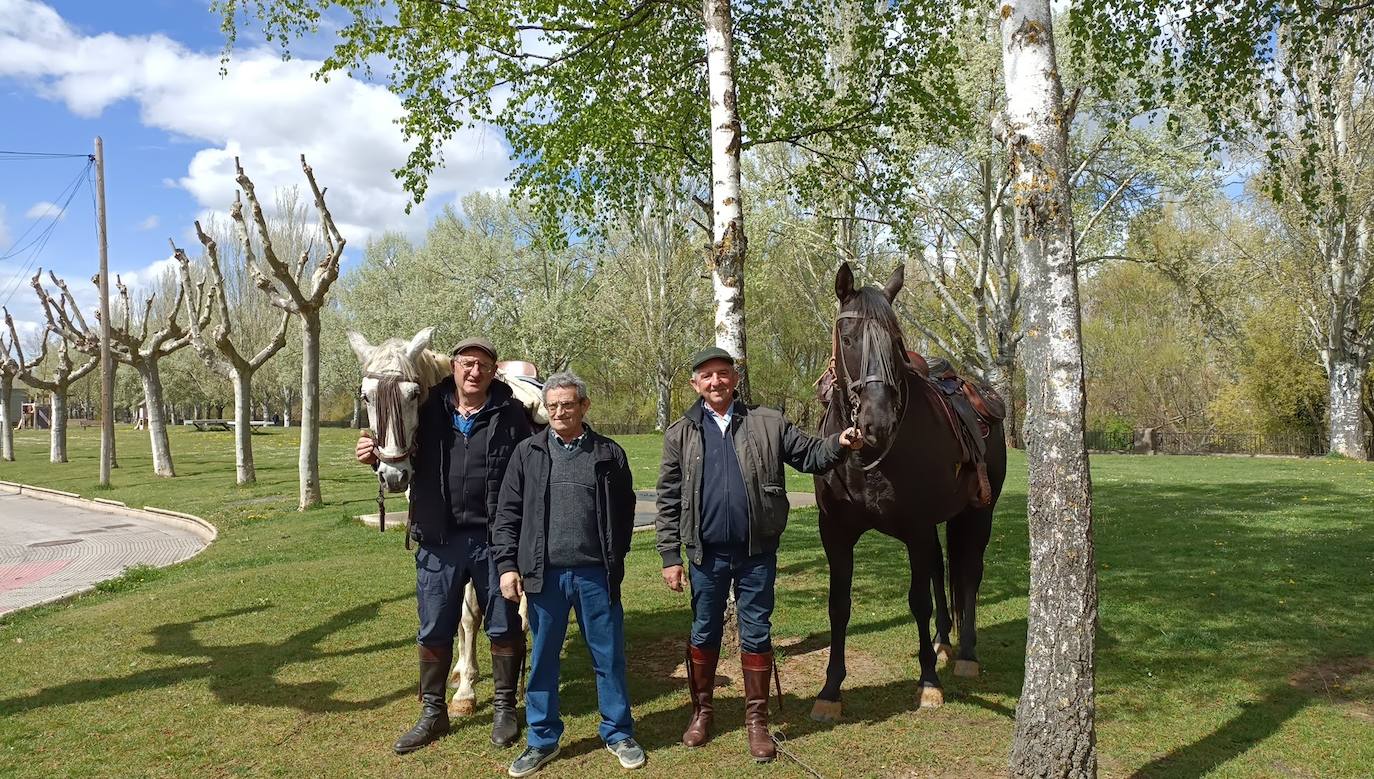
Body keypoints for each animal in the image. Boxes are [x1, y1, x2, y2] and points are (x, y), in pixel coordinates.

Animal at [802, 263, 1011, 725]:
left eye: (895, 344)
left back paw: (965, 654)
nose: (876, 421)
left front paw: (929, 682)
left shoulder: (915, 528)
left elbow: (918, 600)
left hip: (977, 514)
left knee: (969, 572)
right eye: (848, 338)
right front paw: (830, 690)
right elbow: (838, 605)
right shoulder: (835, 533)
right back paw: (943, 642)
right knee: (939, 568)